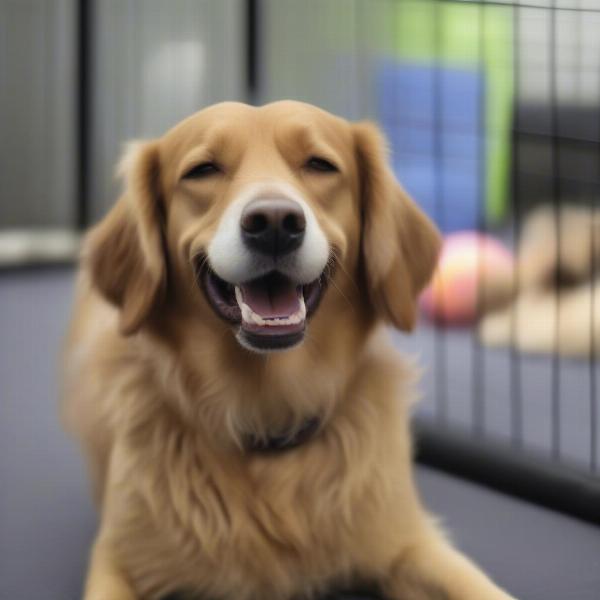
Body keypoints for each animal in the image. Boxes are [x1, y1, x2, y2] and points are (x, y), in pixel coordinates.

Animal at [64, 102, 516, 600]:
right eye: (202, 170)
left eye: (320, 164)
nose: (275, 223)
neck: (267, 419)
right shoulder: (119, 560)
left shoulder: (411, 543)